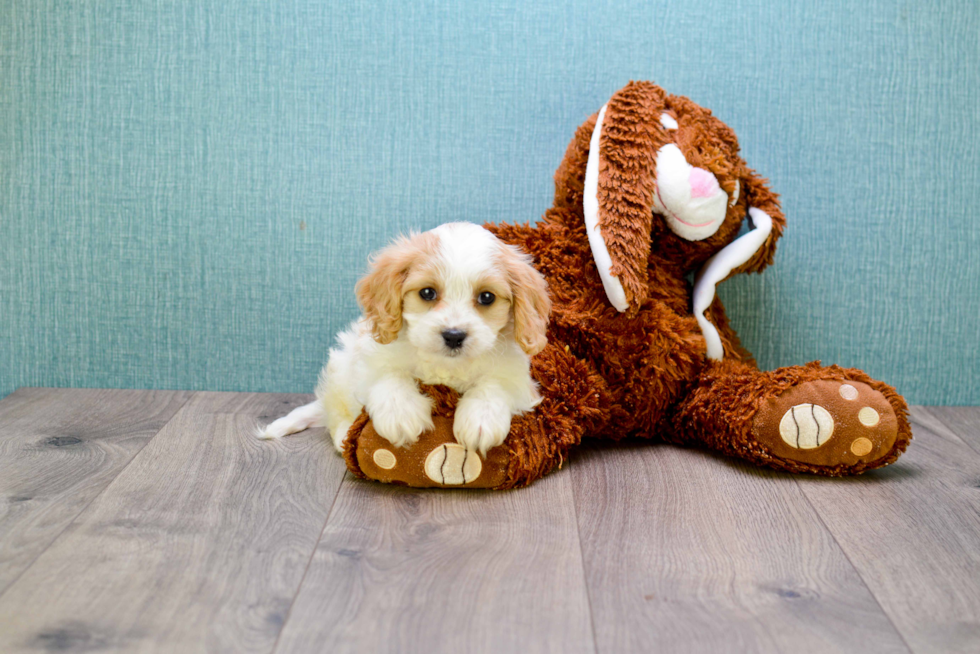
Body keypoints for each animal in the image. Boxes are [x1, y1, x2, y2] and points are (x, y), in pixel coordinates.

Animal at [258, 223, 552, 458]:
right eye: (427, 293)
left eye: (487, 297)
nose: (454, 335)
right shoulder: (369, 360)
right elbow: (390, 376)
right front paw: (400, 416)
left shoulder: (518, 379)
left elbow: (494, 385)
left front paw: (480, 421)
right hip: (341, 367)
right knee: (337, 414)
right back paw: (344, 437)